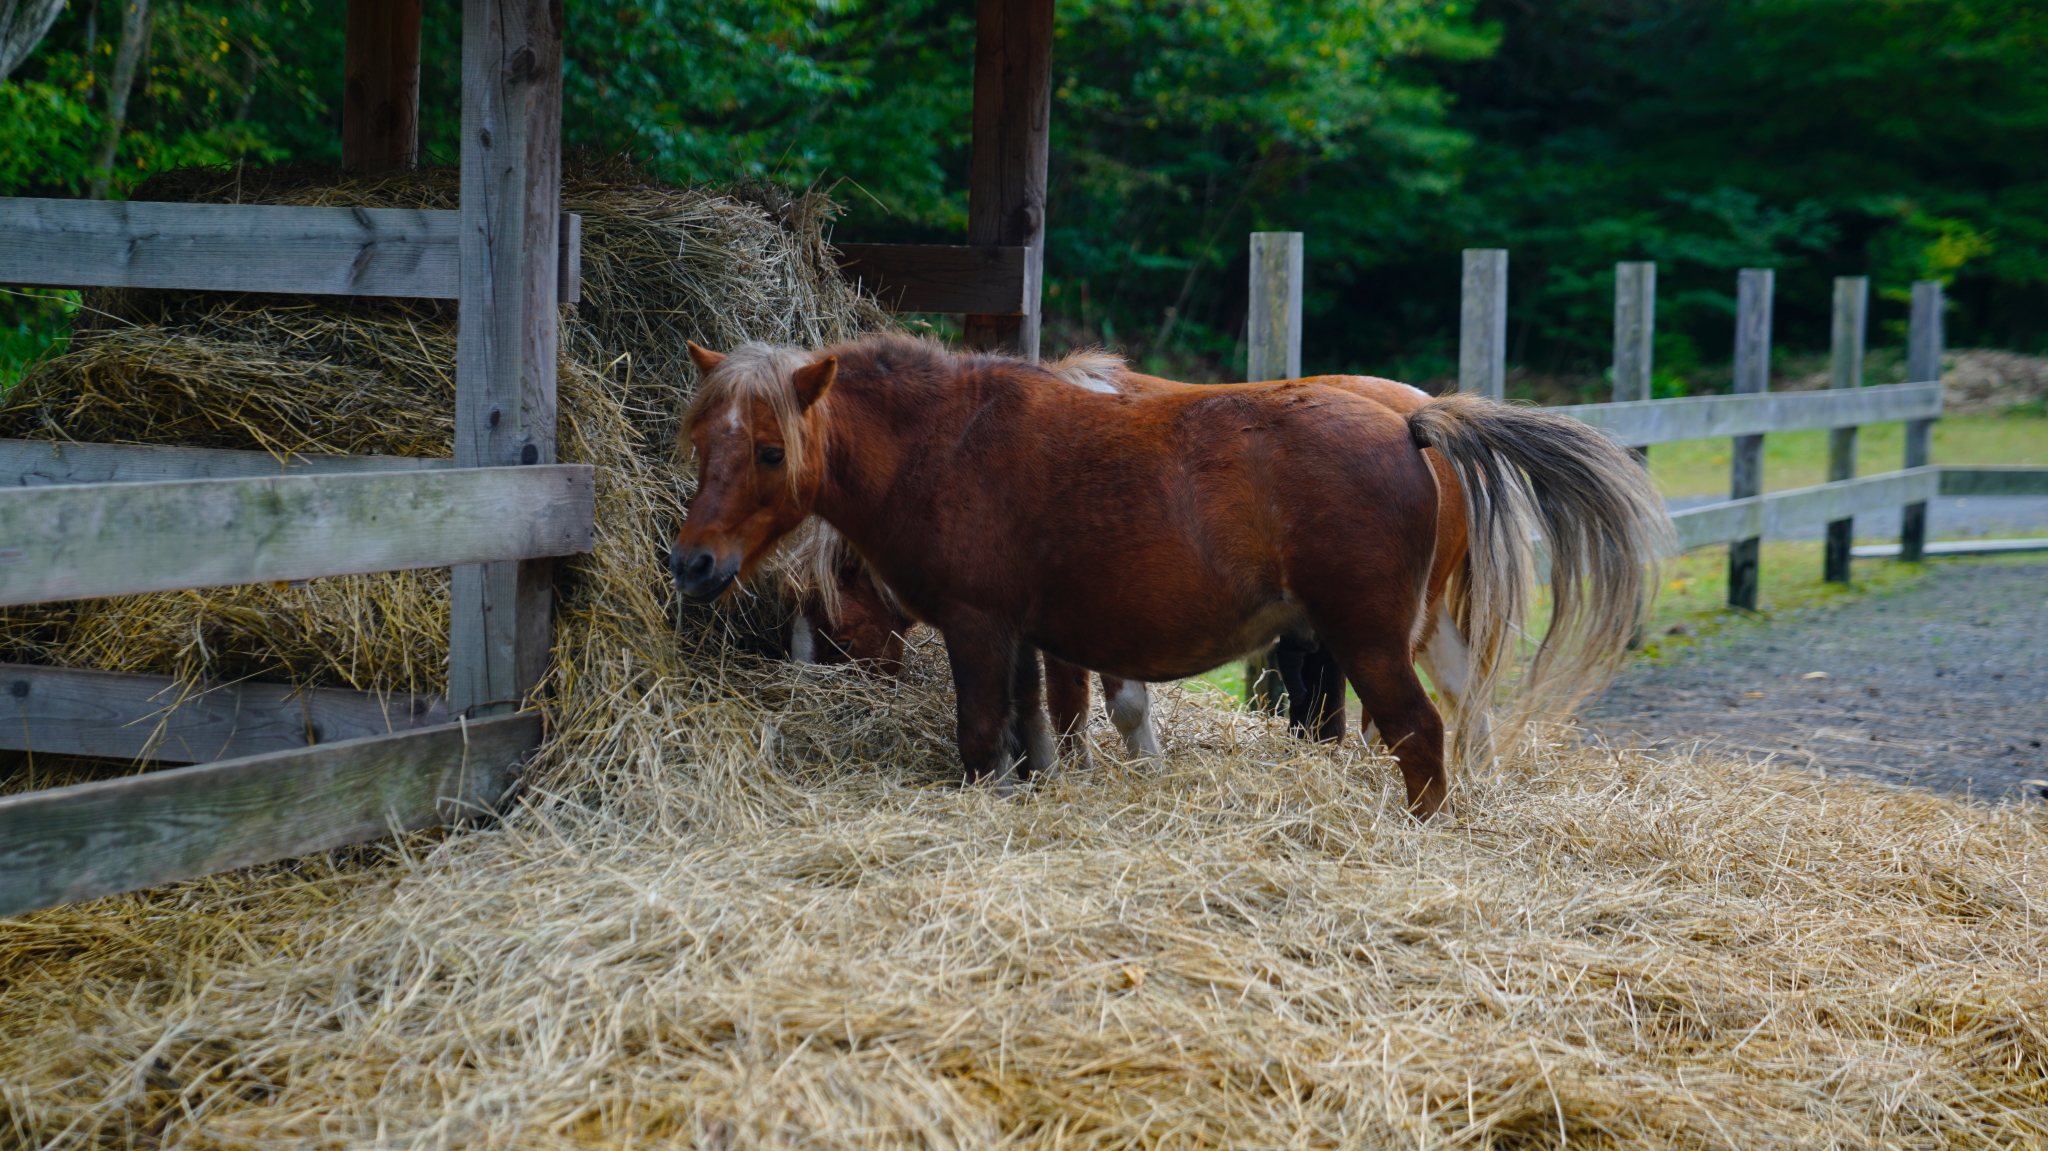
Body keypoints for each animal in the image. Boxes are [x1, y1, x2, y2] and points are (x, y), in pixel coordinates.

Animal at [679, 335, 1671, 811]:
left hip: (1371, 639)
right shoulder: (1028, 635)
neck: (949, 443)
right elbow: (1038, 732)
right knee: (1463, 711)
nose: (694, 562)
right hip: (1420, 626)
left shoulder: (980, 626)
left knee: (1421, 733)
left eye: (770, 451)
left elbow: (986, 735)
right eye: (702, 443)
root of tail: (1410, 422)